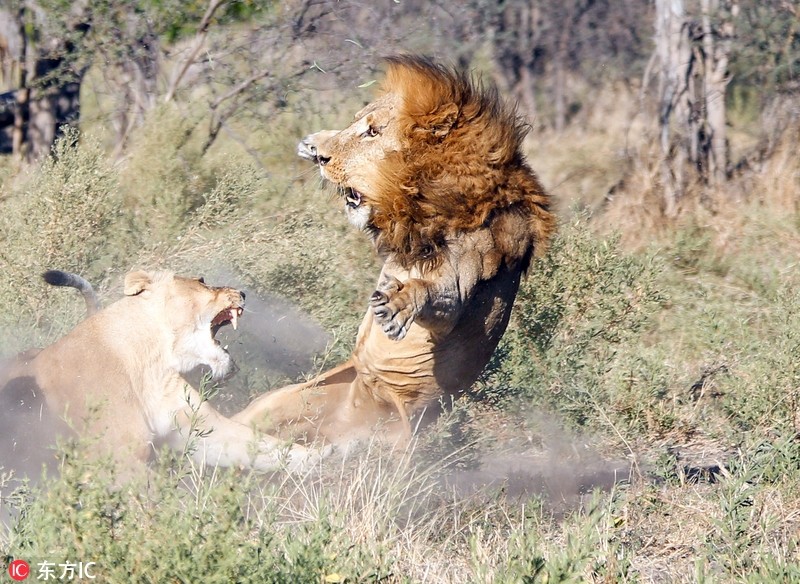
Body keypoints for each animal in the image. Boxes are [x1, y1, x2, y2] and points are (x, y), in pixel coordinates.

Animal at [0, 270, 318, 474]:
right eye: (201, 281)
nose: (242, 292)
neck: (151, 362)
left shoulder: (202, 430)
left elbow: (270, 447)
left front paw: (325, 462)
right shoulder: (124, 459)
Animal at [234, 54, 552, 448]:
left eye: (373, 132)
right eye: (355, 123)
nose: (321, 157)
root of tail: (359, 401)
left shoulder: (462, 286)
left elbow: (434, 294)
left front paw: (397, 305)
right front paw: (314, 141)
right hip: (279, 402)